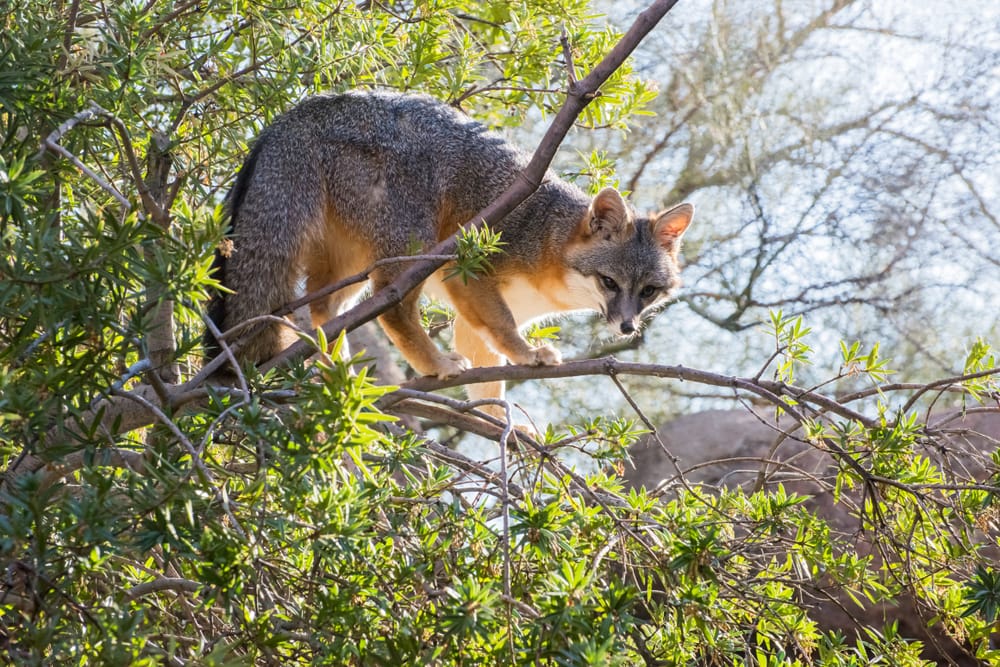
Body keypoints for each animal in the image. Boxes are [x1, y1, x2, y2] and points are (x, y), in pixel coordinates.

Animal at [206, 90, 694, 411]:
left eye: (648, 291)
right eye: (609, 282)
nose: (627, 326)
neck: (548, 238)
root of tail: (307, 109)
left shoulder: (475, 318)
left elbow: (491, 382)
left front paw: (502, 428)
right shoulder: (468, 273)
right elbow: (502, 330)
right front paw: (527, 355)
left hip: (351, 263)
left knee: (324, 308)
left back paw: (338, 371)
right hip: (410, 251)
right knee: (391, 307)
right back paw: (433, 362)